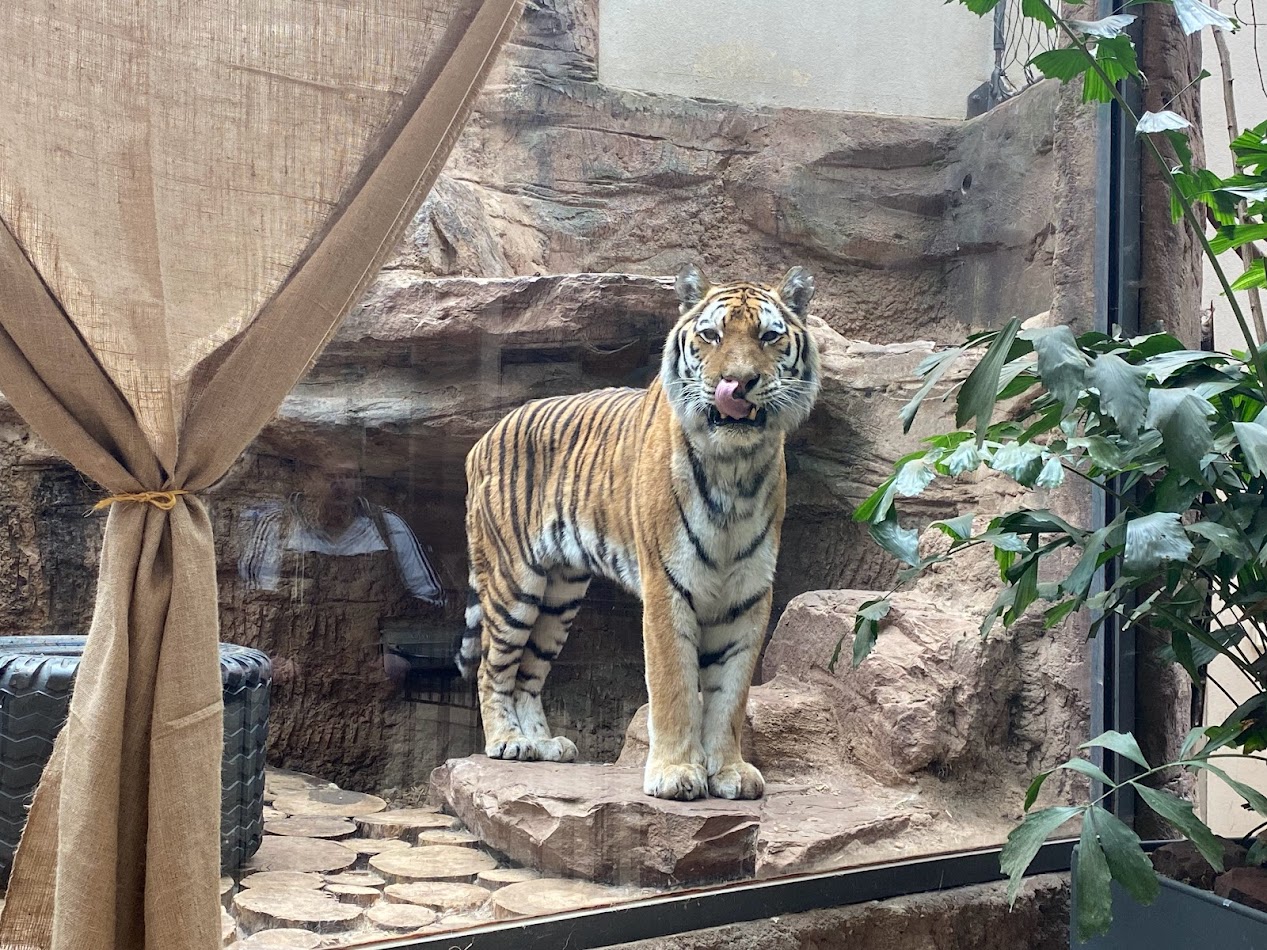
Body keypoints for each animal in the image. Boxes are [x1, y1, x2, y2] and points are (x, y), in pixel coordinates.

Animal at [457, 263, 820, 801]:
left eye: (769, 336)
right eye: (711, 335)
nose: (736, 383)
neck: (734, 467)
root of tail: (482, 439)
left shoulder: (748, 594)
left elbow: (730, 693)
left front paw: (730, 771)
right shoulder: (668, 585)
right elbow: (674, 685)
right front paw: (675, 773)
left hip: (559, 596)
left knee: (528, 672)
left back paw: (543, 744)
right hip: (512, 584)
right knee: (492, 667)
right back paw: (507, 740)